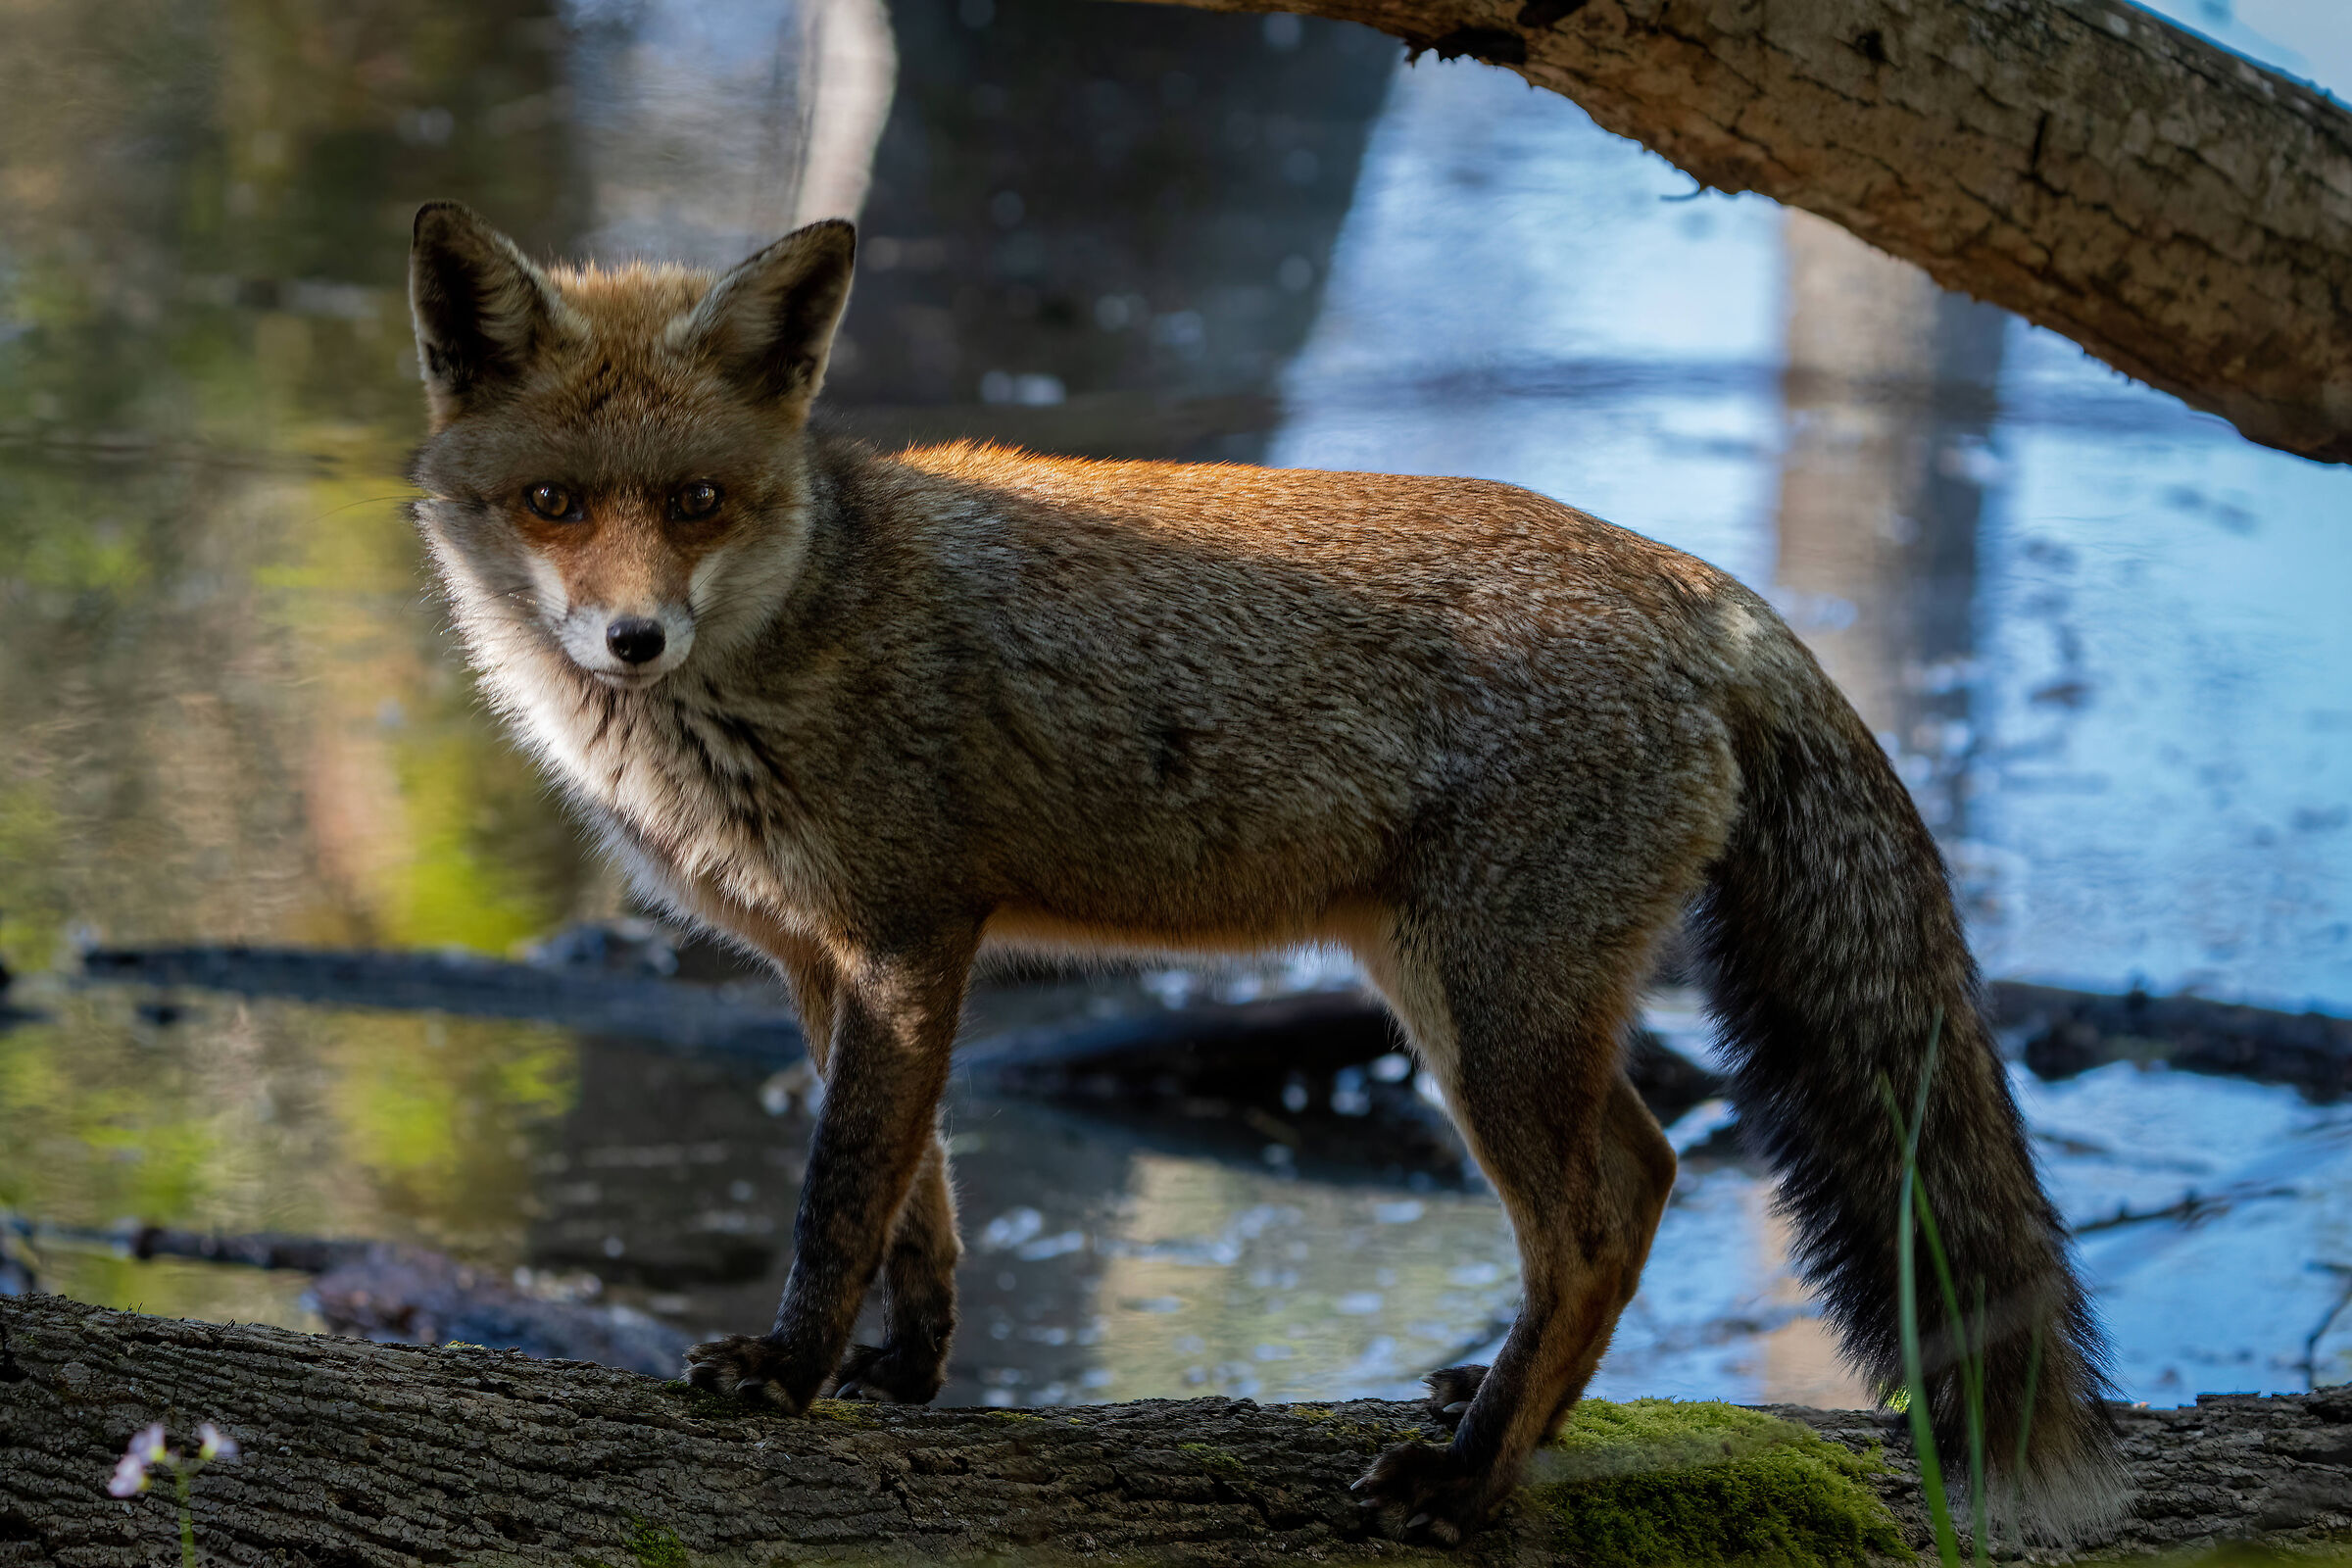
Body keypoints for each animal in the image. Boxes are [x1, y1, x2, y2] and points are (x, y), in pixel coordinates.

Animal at [403, 200, 2120, 1543]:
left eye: (697, 502)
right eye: (555, 503)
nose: (632, 639)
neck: (788, 641)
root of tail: (1696, 582)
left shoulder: (907, 936)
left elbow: (840, 1197)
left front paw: (791, 1375)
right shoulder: (829, 962)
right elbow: (921, 1203)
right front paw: (906, 1373)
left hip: (1483, 1015)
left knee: (1599, 1216)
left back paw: (1472, 1479)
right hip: (1483, 1002)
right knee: (1646, 1175)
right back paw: (1522, 1423)